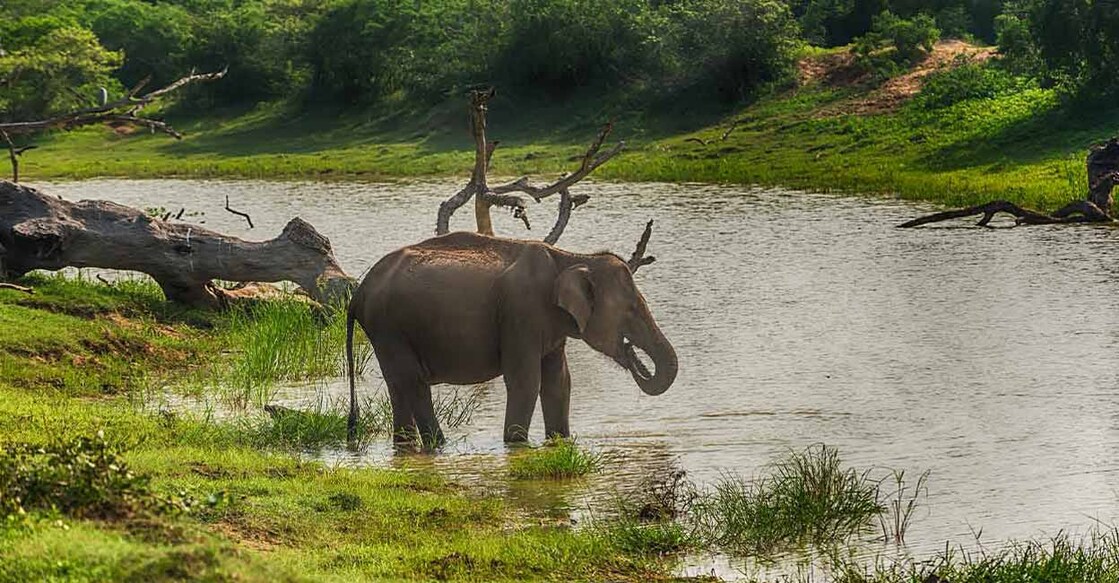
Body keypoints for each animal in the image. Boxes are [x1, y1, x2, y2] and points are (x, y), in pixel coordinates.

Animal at [344, 231, 678, 448]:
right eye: (631, 309)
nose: (635, 359)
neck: (571, 257)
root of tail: (359, 292)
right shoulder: (521, 314)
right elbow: (525, 381)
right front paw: (516, 444)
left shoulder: (552, 326)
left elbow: (559, 382)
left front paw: (559, 441)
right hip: (390, 327)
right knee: (413, 383)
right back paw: (439, 444)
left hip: (386, 331)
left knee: (398, 385)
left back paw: (407, 447)